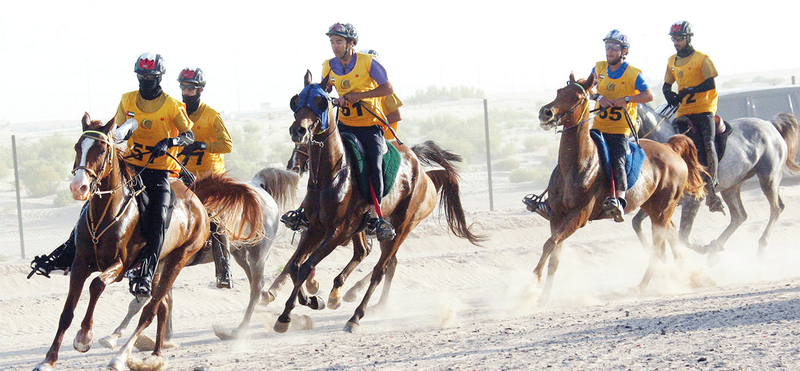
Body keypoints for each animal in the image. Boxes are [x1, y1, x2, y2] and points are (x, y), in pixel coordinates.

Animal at [34, 114, 266, 371]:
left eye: (102, 149)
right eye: (77, 147)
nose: (79, 187)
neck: (108, 213)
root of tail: (198, 202)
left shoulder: (120, 265)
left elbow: (97, 285)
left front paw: (85, 337)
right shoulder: (80, 264)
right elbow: (67, 312)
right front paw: (48, 360)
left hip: (178, 259)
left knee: (151, 309)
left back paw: (120, 357)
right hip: (158, 264)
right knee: (161, 306)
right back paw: (155, 354)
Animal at [96, 169, 296, 352]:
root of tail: (257, 187)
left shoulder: (161, 263)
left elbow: (143, 300)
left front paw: (112, 336)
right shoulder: (165, 263)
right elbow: (165, 298)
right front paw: (167, 339)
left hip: (258, 254)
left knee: (256, 286)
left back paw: (240, 330)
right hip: (240, 254)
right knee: (256, 286)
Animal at [274, 70, 488, 334]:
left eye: (320, 101)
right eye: (297, 101)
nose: (299, 131)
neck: (331, 174)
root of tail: (424, 174)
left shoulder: (335, 232)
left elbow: (304, 266)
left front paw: (289, 314)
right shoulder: (314, 227)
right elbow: (295, 266)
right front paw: (309, 301)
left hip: (401, 227)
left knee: (381, 269)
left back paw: (355, 316)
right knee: (375, 258)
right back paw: (346, 298)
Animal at [532, 75, 708, 306]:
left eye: (576, 97)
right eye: (559, 91)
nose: (546, 112)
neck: (577, 165)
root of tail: (670, 147)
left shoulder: (578, 216)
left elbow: (550, 243)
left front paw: (531, 284)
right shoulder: (557, 216)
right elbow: (554, 253)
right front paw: (543, 298)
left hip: (663, 209)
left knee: (658, 246)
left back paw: (643, 286)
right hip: (653, 207)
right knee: (669, 235)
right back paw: (689, 276)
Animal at [632, 103, 800, 264]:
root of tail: (770, 124)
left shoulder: (693, 201)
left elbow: (682, 238)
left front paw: (703, 248)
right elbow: (637, 222)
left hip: (768, 177)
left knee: (776, 208)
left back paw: (760, 246)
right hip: (732, 187)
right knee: (739, 216)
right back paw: (715, 250)